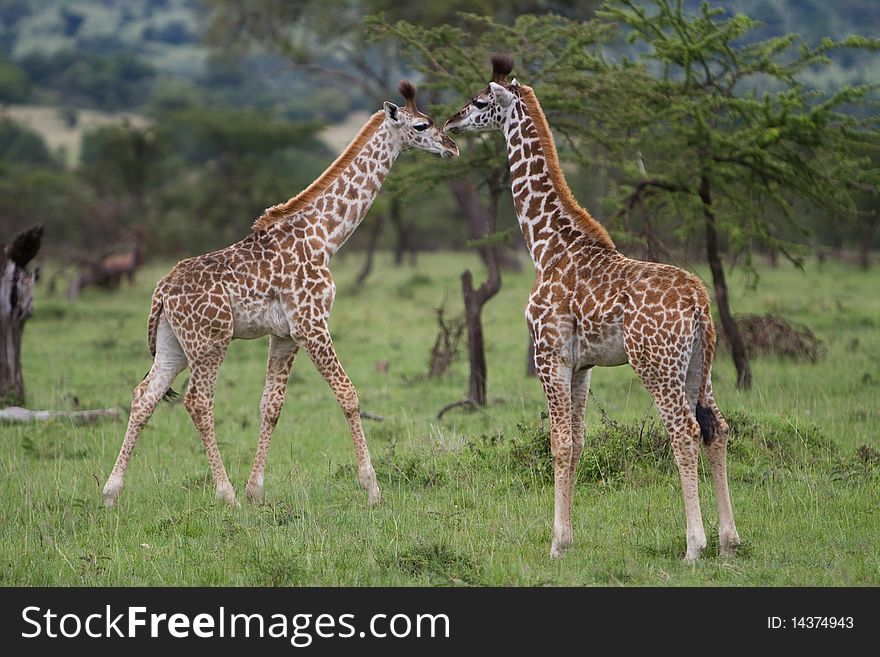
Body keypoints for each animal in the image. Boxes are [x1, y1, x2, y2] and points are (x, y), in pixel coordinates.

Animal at [103, 80, 458, 508]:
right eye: (422, 125)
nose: (452, 147)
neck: (325, 237)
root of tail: (161, 292)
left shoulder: (285, 334)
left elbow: (270, 405)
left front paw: (256, 490)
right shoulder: (312, 324)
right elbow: (348, 394)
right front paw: (372, 488)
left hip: (174, 343)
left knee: (144, 396)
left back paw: (111, 492)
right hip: (210, 341)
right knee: (198, 401)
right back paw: (225, 493)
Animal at [444, 55, 740, 560]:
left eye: (481, 101)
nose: (450, 121)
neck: (547, 246)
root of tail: (700, 301)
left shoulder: (549, 355)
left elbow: (559, 443)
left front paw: (555, 544)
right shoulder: (581, 365)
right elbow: (579, 443)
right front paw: (568, 538)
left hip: (655, 364)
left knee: (684, 431)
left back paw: (694, 545)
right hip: (699, 363)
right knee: (715, 426)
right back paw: (729, 540)